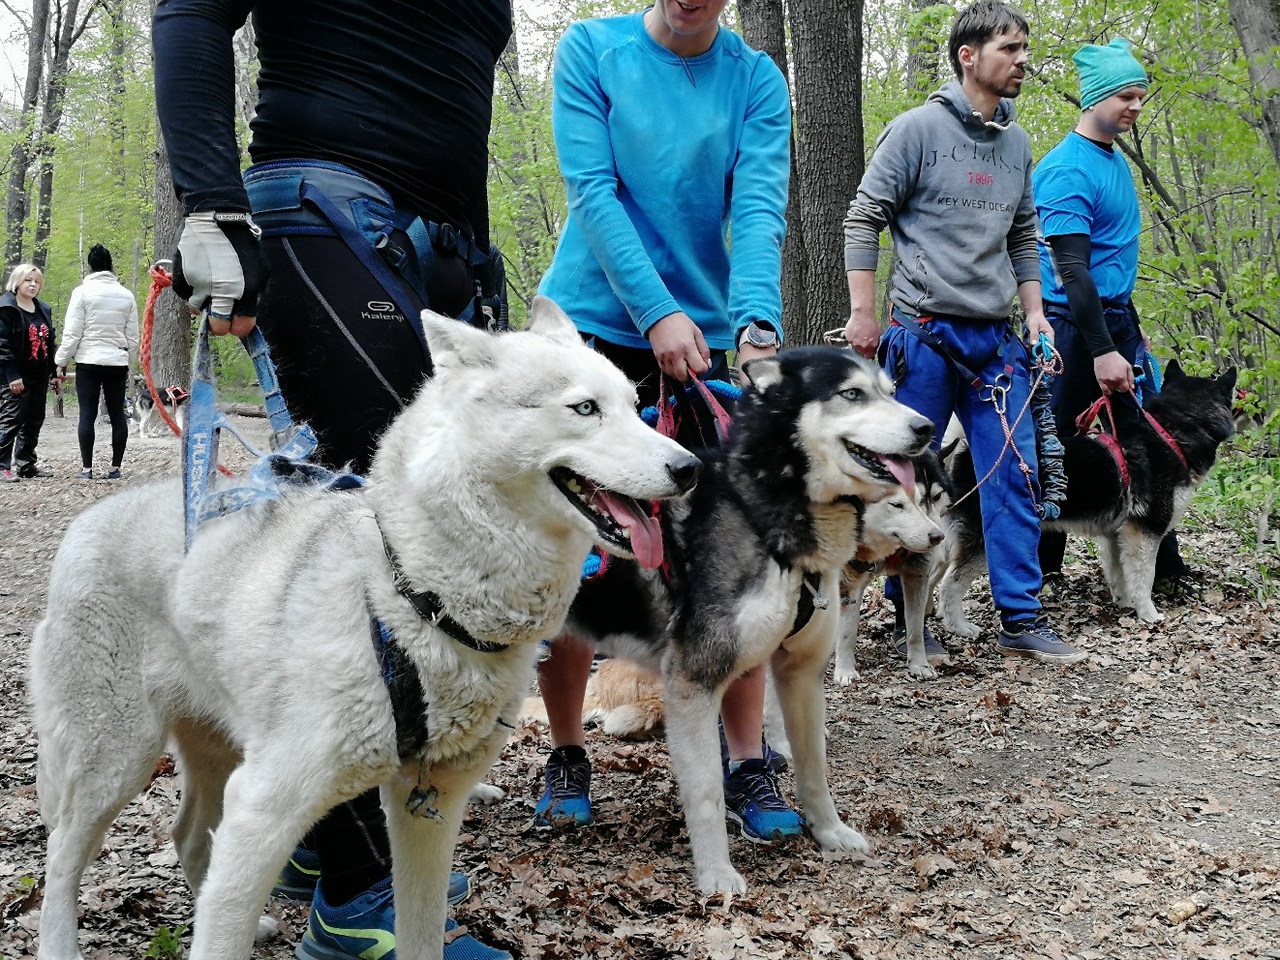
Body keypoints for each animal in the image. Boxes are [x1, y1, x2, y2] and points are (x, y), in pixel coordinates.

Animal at [30, 300, 701, 960]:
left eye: (635, 407)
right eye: (585, 409)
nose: (689, 466)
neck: (410, 599)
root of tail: (85, 523)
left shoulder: (428, 811)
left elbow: (423, 938)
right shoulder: (264, 809)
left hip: (215, 753)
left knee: (187, 834)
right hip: (120, 761)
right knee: (62, 857)